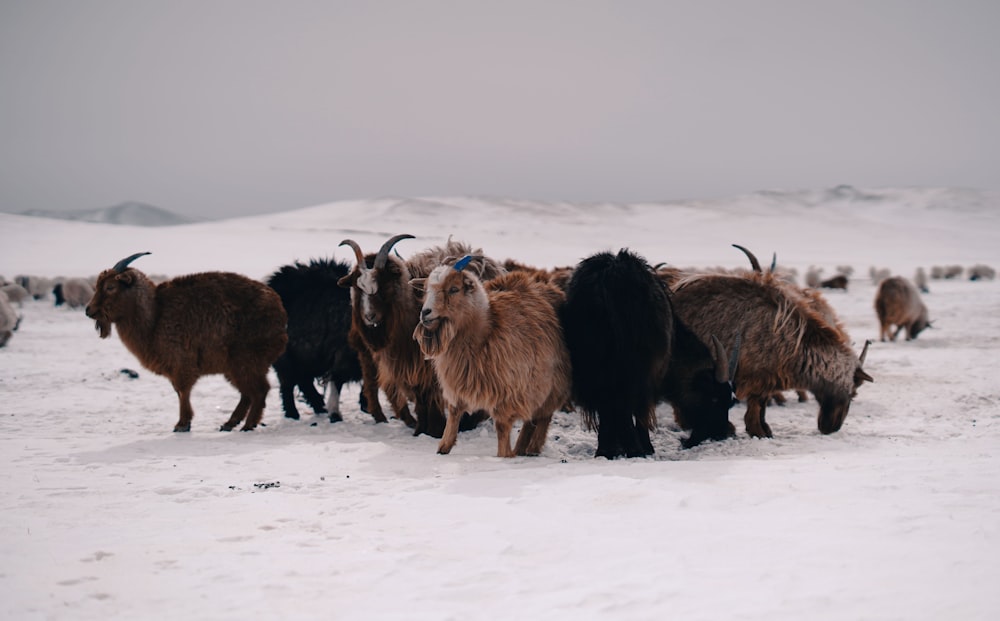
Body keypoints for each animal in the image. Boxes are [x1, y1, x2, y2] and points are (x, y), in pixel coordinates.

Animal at [85, 252, 290, 432]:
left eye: (110, 287)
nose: (88, 310)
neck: (155, 315)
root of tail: (280, 312)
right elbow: (180, 391)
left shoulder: (181, 362)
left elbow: (182, 391)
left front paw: (182, 424)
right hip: (235, 366)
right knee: (248, 393)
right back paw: (230, 423)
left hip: (246, 359)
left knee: (259, 390)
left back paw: (248, 424)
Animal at [412, 256, 572, 456]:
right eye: (426, 290)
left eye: (454, 289)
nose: (425, 313)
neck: (485, 333)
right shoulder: (457, 383)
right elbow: (454, 415)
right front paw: (443, 448)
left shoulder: (508, 391)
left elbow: (502, 427)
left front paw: (504, 455)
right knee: (532, 419)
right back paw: (522, 448)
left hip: (552, 385)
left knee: (543, 417)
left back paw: (532, 448)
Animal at [560, 249, 676, 458]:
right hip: (634, 366)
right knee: (625, 404)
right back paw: (635, 449)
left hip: (594, 364)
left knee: (609, 405)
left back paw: (606, 450)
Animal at [672, 245, 876, 438]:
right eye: (852, 393)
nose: (831, 427)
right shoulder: (753, 377)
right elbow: (754, 409)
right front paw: (754, 431)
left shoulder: (765, 379)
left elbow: (758, 409)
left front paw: (763, 430)